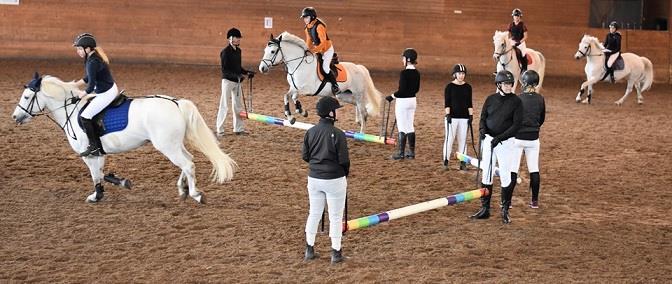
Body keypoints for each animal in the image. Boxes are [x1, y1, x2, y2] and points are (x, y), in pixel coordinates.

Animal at [11, 72, 239, 202]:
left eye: (27, 96)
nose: (15, 117)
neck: (71, 110)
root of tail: (175, 102)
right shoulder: (99, 153)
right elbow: (101, 174)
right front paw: (119, 183)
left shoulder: (90, 154)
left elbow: (96, 175)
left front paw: (97, 195)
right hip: (173, 144)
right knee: (188, 161)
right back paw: (182, 190)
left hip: (167, 146)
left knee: (188, 164)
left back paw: (195, 194)